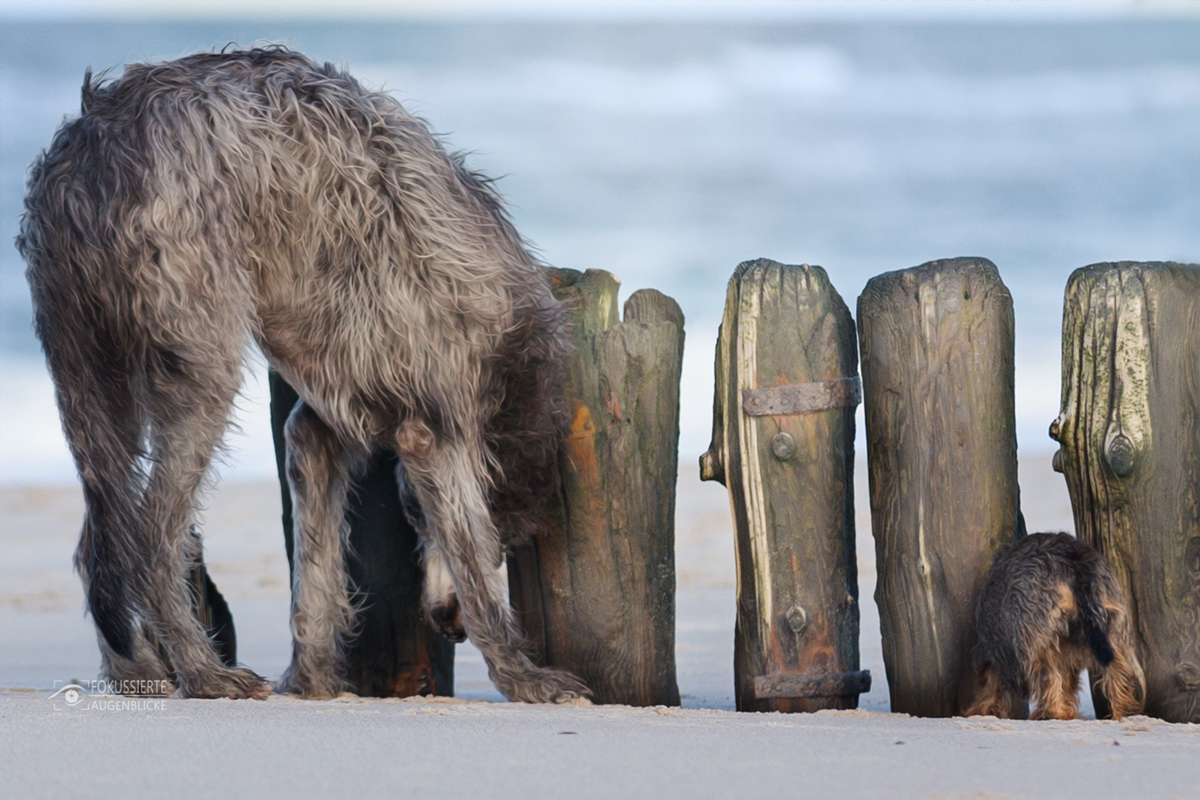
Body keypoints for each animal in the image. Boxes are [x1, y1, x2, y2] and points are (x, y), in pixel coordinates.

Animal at [18, 47, 590, 705]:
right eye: (499, 541)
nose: (449, 625)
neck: (509, 344)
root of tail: (90, 140)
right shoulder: (435, 430)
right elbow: (469, 562)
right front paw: (525, 676)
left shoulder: (318, 429)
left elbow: (315, 570)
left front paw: (313, 679)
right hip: (197, 355)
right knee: (152, 536)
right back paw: (204, 672)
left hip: (88, 366)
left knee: (100, 535)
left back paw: (136, 670)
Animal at [964, 532, 1142, 719]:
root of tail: (1074, 558)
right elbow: (1067, 683)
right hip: (1113, 625)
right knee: (1117, 672)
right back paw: (1125, 712)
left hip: (1035, 639)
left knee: (1047, 677)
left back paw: (1048, 713)